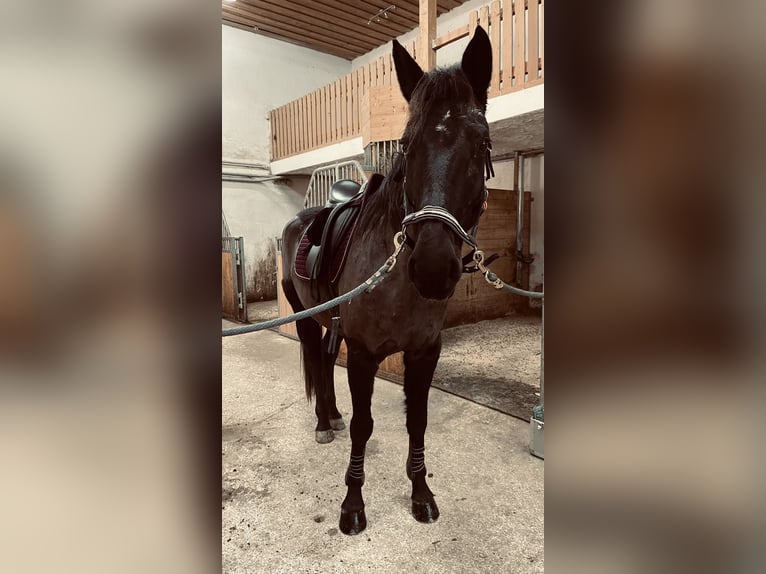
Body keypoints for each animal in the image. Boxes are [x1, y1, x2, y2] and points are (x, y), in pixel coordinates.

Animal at [280, 26, 493, 536]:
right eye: (407, 144)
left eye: (481, 144)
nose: (433, 267)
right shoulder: (363, 354)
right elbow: (366, 425)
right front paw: (352, 505)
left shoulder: (424, 352)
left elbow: (417, 422)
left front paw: (422, 495)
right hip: (305, 317)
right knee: (315, 359)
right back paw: (323, 423)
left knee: (323, 360)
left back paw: (331, 416)